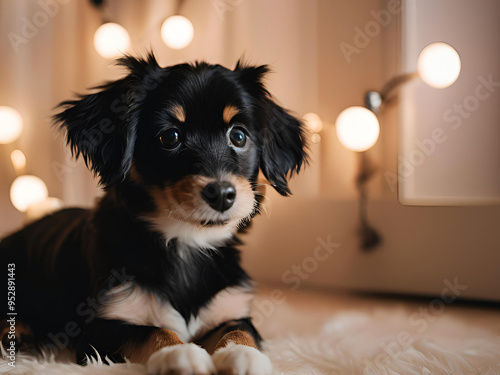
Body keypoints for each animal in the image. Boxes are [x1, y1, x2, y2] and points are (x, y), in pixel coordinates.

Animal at [0, 53, 304, 375]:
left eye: (238, 135)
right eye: (170, 137)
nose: (222, 194)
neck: (186, 243)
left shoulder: (232, 310)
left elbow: (240, 331)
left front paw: (243, 355)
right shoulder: (100, 330)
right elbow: (153, 330)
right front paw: (179, 353)